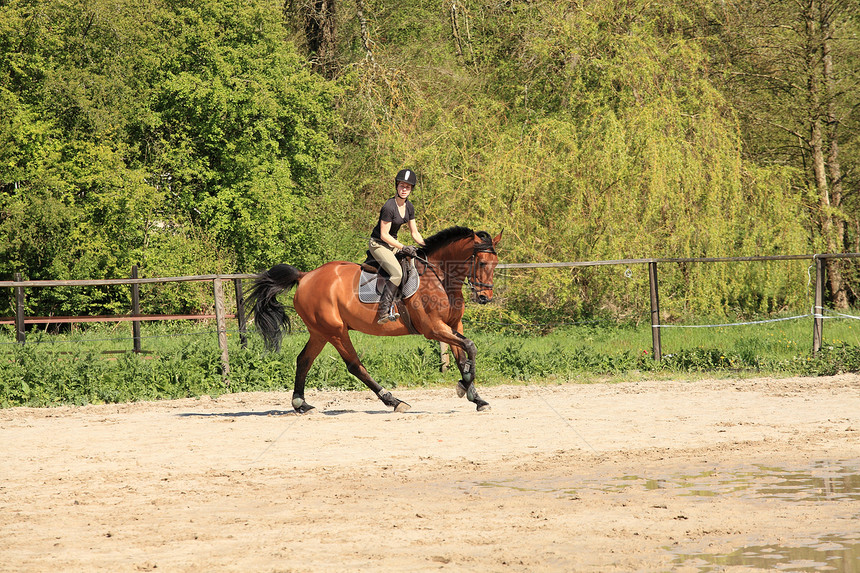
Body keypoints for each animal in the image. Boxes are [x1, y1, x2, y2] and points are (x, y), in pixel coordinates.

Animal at [245, 226, 500, 414]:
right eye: (482, 262)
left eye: (495, 263)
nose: (484, 297)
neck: (439, 276)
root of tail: (305, 276)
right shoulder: (434, 328)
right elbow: (470, 346)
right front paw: (464, 385)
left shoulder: (453, 325)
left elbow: (463, 355)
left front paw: (475, 396)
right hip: (336, 331)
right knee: (354, 365)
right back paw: (393, 401)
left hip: (320, 332)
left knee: (303, 360)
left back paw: (301, 404)